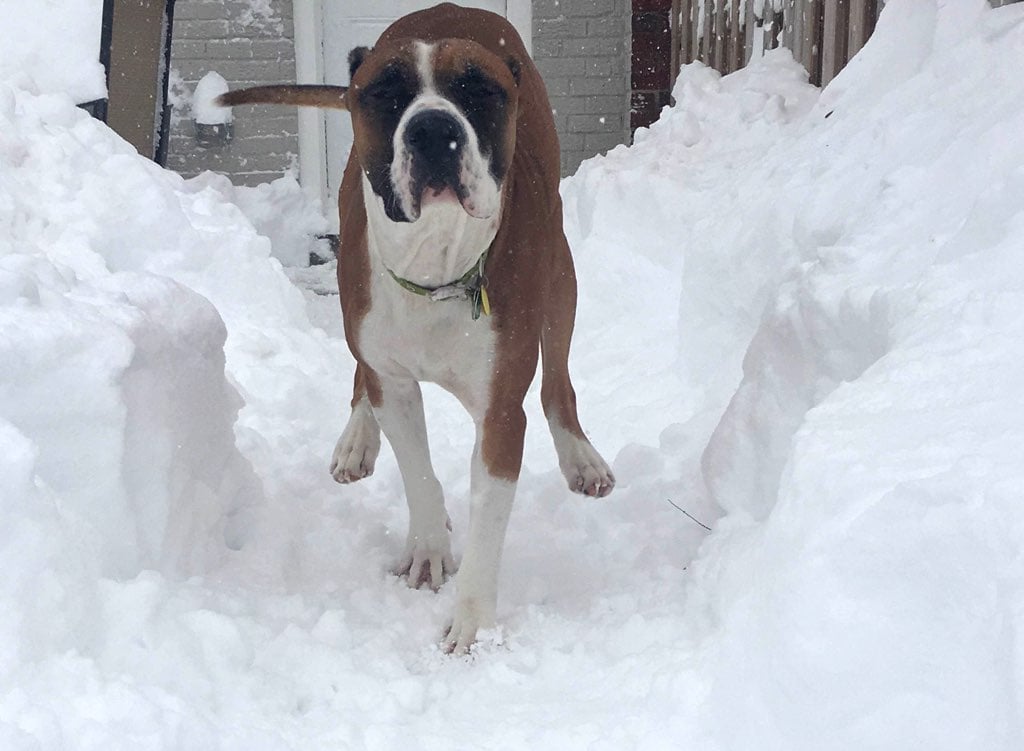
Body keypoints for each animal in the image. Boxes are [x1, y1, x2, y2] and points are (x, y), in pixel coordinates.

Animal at [219, 2, 610, 651]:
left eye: (478, 89)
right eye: (384, 92)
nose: (431, 129)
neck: (437, 263)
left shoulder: (502, 414)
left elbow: (488, 518)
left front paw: (472, 622)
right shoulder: (392, 380)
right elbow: (418, 471)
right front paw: (428, 549)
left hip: (561, 275)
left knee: (559, 382)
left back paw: (580, 456)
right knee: (363, 372)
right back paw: (357, 436)